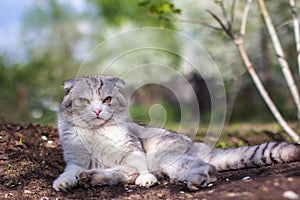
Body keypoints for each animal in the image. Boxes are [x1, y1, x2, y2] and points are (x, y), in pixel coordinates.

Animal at [53, 76, 300, 191]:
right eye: (85, 101)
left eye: (107, 100)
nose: (97, 111)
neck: (96, 134)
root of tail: (201, 146)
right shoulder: (75, 161)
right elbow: (69, 172)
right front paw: (64, 183)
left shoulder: (134, 150)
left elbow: (138, 167)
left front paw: (146, 179)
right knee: (120, 174)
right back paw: (91, 177)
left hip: (166, 157)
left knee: (206, 168)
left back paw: (198, 180)